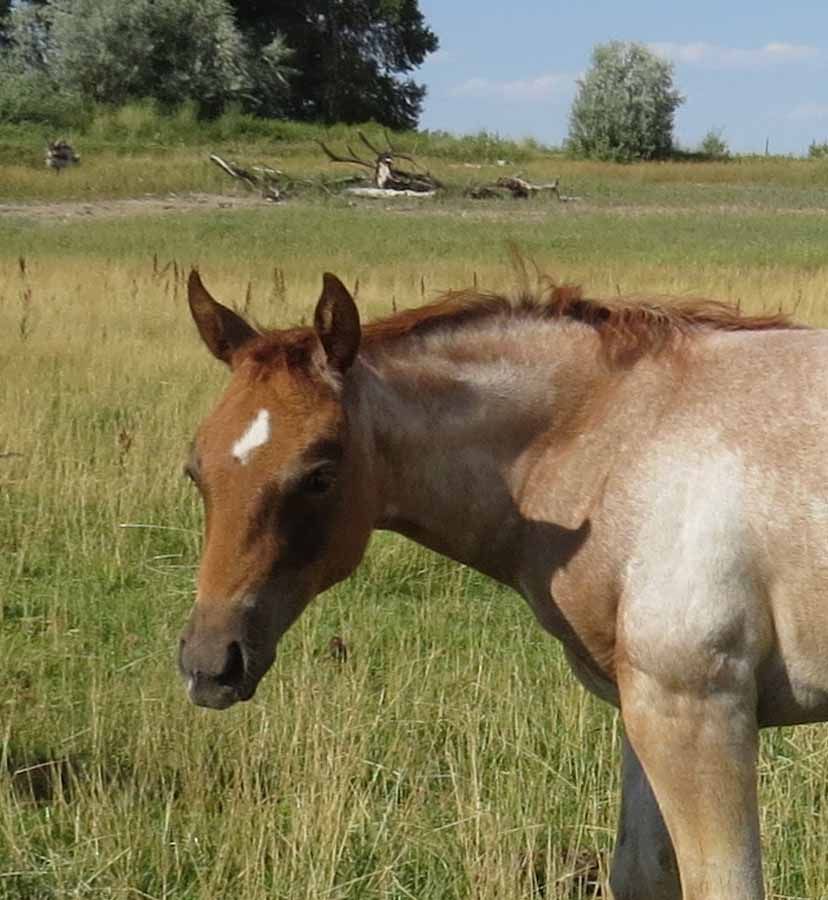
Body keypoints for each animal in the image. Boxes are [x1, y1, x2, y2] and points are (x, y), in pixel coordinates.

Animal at [178, 267, 828, 900]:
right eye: (196, 469)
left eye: (319, 474)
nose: (210, 664)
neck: (626, 437)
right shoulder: (642, 703)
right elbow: (642, 874)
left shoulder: (698, 711)